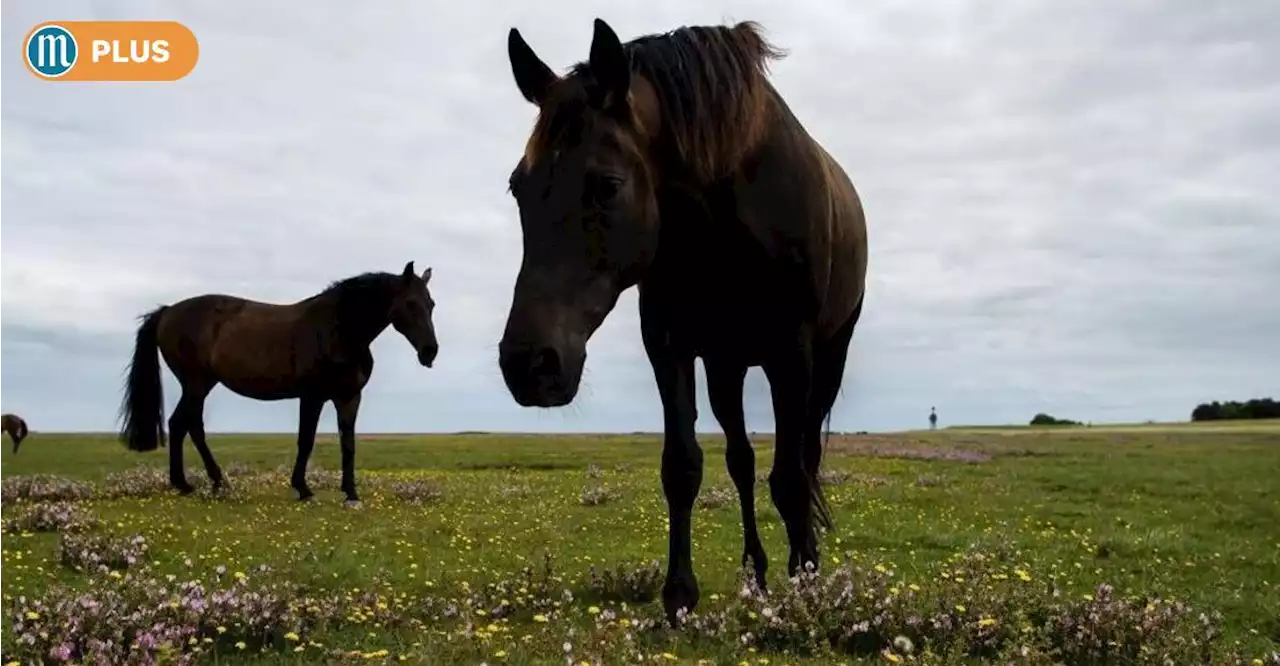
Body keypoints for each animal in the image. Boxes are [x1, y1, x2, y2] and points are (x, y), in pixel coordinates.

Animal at [120, 262, 440, 502]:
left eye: (431, 304)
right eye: (410, 303)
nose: (430, 352)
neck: (338, 330)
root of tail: (167, 311)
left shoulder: (349, 397)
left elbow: (348, 444)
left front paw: (350, 493)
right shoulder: (312, 396)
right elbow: (306, 440)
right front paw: (303, 488)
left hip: (200, 385)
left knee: (190, 426)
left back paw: (213, 482)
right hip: (195, 384)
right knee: (180, 425)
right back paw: (187, 484)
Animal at [499, 20, 870, 625]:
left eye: (607, 185)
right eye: (518, 187)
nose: (528, 365)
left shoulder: (792, 353)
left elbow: (791, 479)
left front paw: (805, 583)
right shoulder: (669, 346)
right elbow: (683, 466)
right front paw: (679, 595)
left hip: (825, 360)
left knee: (806, 458)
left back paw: (803, 564)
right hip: (726, 365)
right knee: (741, 462)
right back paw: (755, 572)